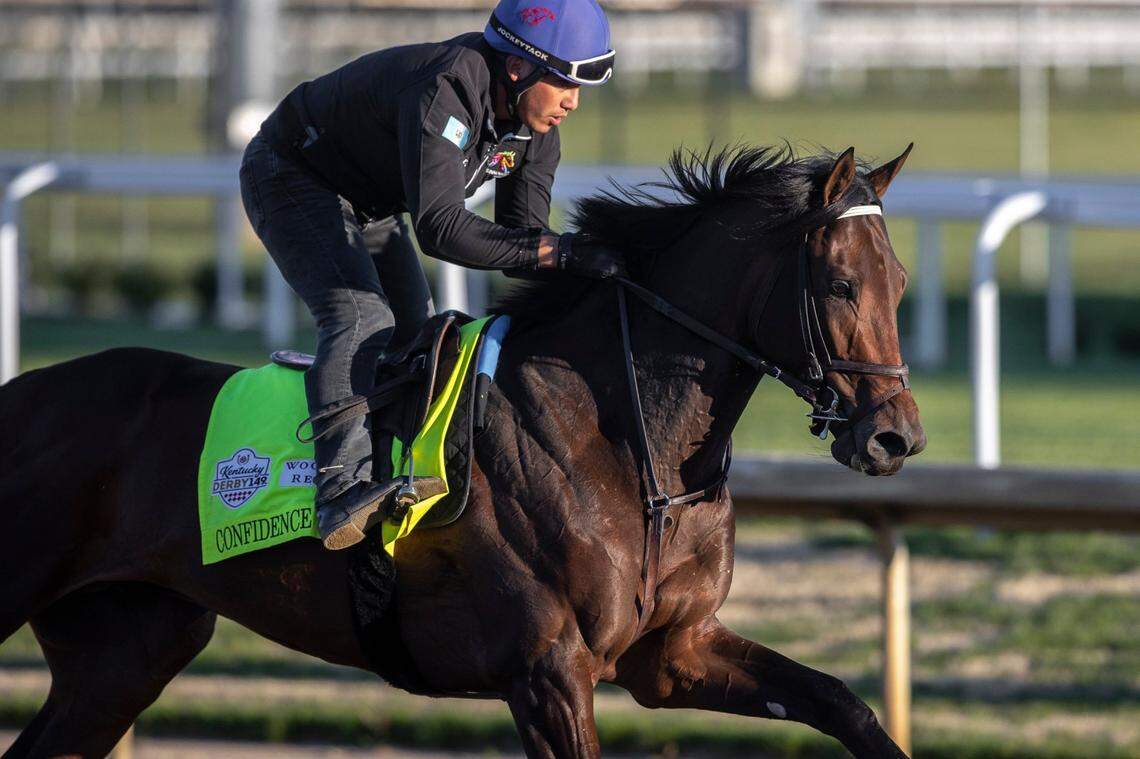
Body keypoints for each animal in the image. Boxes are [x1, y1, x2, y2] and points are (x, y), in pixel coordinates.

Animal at [0, 143, 924, 759]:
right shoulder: (548, 671)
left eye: (901, 283)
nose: (897, 436)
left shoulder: (672, 650)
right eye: (840, 284)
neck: (629, 446)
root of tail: (21, 394)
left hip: (127, 650)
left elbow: (841, 701)